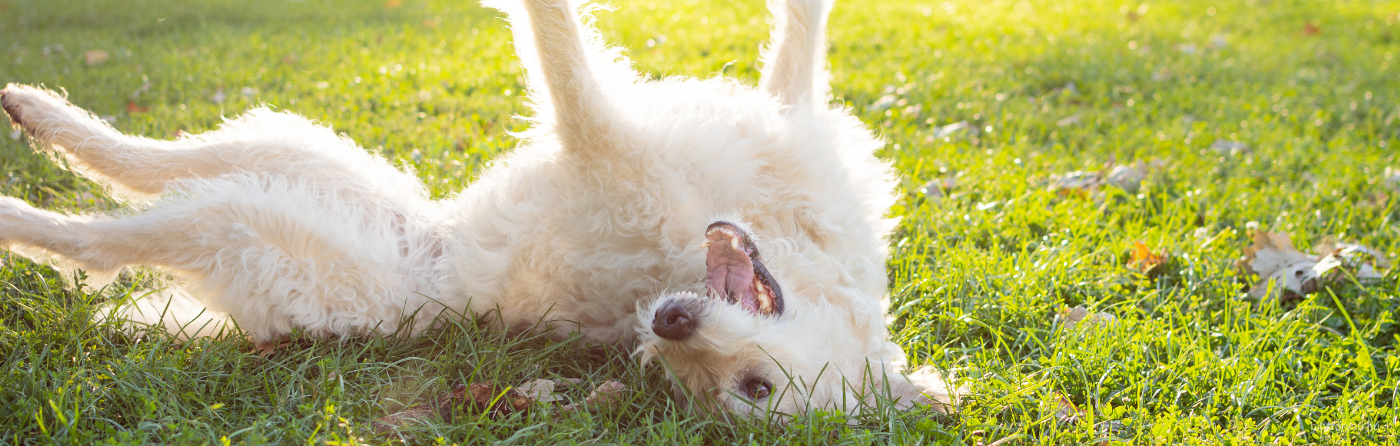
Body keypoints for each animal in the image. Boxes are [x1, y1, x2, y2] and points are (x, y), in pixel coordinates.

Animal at [0, 0, 952, 419]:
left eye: (751, 389)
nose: (672, 324)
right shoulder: (783, 110)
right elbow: (800, 26)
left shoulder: (600, 141)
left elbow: (561, 54)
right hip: (290, 153)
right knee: (150, 161)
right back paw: (38, 110)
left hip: (246, 224)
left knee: (102, 238)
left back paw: (21, 204)